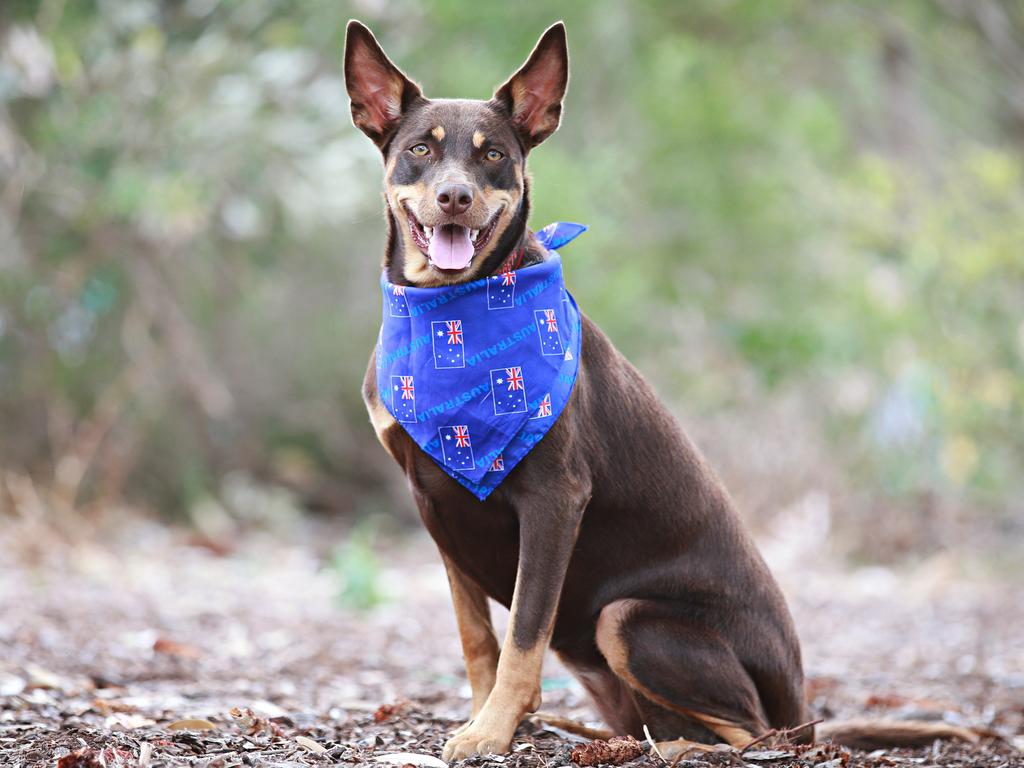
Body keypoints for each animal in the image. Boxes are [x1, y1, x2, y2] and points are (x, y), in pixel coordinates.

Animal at [348, 19, 978, 765]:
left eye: (494, 155)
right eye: (420, 149)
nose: (455, 198)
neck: (454, 312)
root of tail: (806, 713)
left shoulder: (555, 500)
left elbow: (523, 639)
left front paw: (493, 731)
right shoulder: (437, 502)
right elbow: (478, 639)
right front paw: (486, 721)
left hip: (631, 621)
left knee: (754, 735)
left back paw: (672, 747)